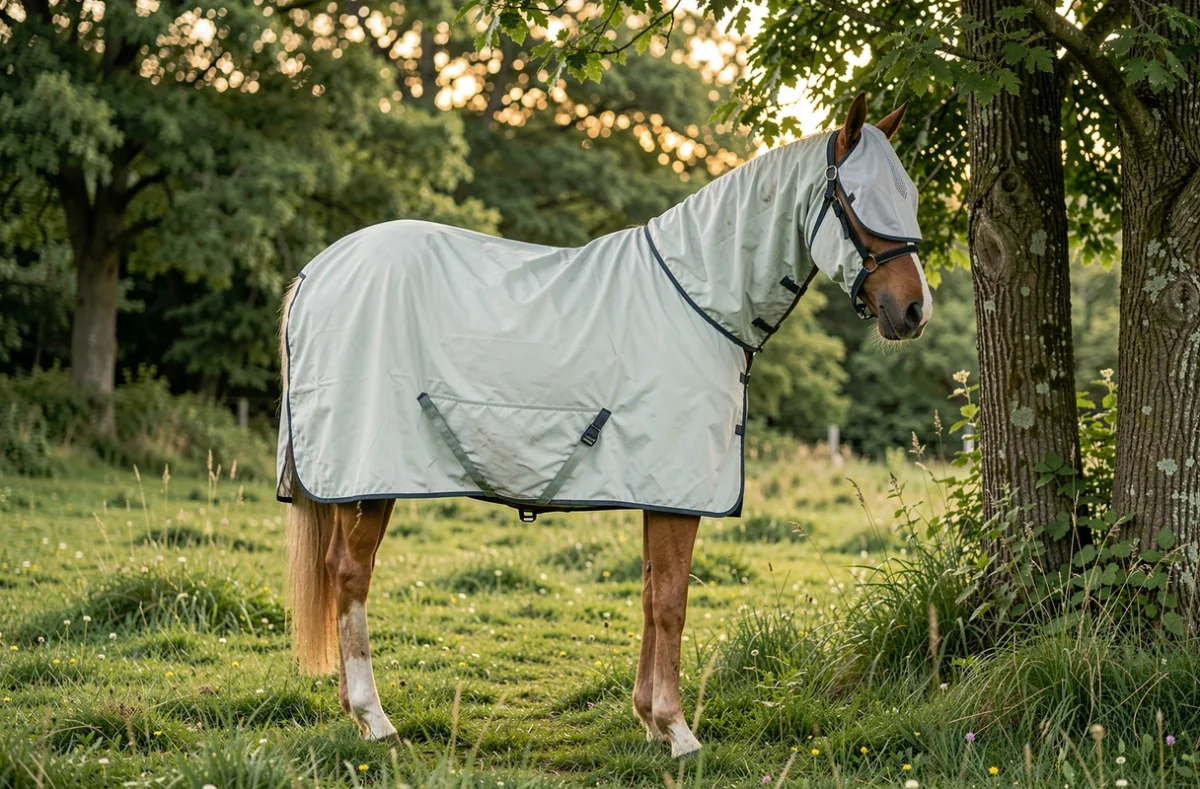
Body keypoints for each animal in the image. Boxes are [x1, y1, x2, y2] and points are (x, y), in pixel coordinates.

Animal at [277, 93, 931, 758]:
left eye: (909, 195)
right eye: (857, 197)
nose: (914, 310)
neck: (698, 301)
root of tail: (314, 274)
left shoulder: (657, 489)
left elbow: (648, 596)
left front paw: (648, 720)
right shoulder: (677, 491)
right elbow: (671, 602)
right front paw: (678, 730)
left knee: (340, 572)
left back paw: (358, 715)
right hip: (369, 475)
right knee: (350, 574)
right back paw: (375, 718)